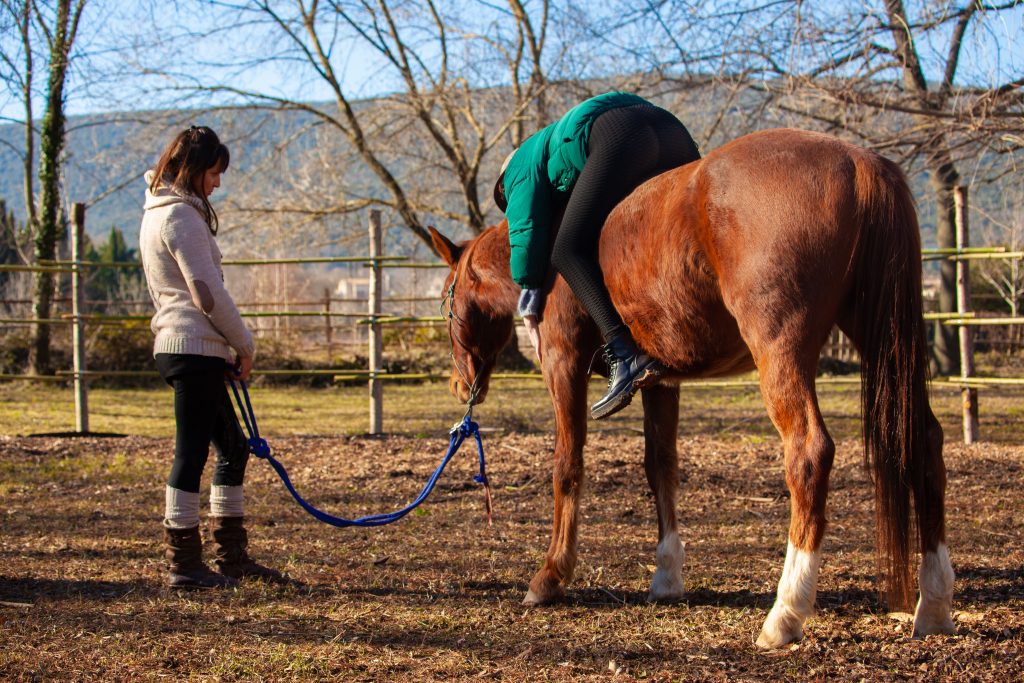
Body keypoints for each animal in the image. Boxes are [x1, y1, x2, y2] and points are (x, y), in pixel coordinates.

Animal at [428, 128, 955, 648]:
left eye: (446, 303)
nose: (458, 384)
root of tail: (857, 161)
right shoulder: (661, 381)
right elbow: (661, 466)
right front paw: (666, 577)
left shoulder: (563, 365)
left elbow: (567, 466)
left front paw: (550, 576)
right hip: (879, 336)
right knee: (924, 440)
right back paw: (933, 602)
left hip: (780, 350)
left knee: (809, 452)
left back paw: (785, 612)